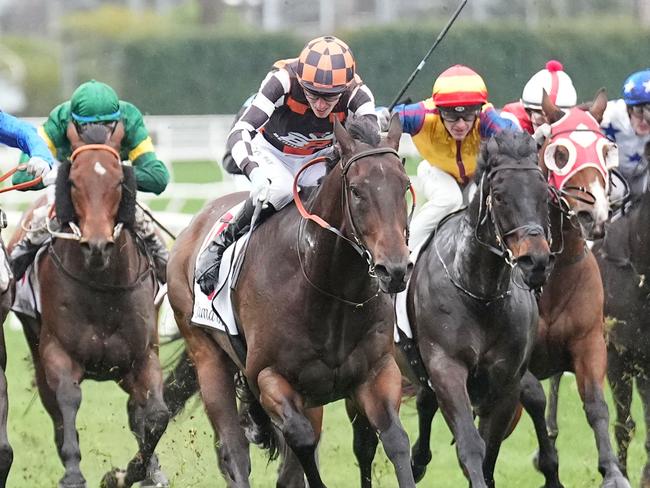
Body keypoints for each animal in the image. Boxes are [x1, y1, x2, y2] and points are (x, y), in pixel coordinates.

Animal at [9, 123, 168, 488]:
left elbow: (155, 416)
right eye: (72, 182)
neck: (103, 288)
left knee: (138, 411)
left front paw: (136, 472)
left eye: (119, 182)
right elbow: (67, 399)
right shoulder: (57, 352)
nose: (97, 245)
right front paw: (73, 473)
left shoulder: (142, 356)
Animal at [165, 115, 412, 488]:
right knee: (234, 452)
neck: (328, 289)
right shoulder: (269, 377)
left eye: (404, 185)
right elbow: (302, 439)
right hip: (207, 355)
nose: (395, 269)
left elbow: (395, 440)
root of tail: (193, 227)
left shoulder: (376, 372)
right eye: (356, 190)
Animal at [394, 131, 552, 488]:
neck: (481, 294)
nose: (535, 261)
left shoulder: (506, 381)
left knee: (425, 402)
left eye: (545, 194)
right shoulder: (446, 366)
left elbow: (489, 450)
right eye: (500, 196)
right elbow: (470, 444)